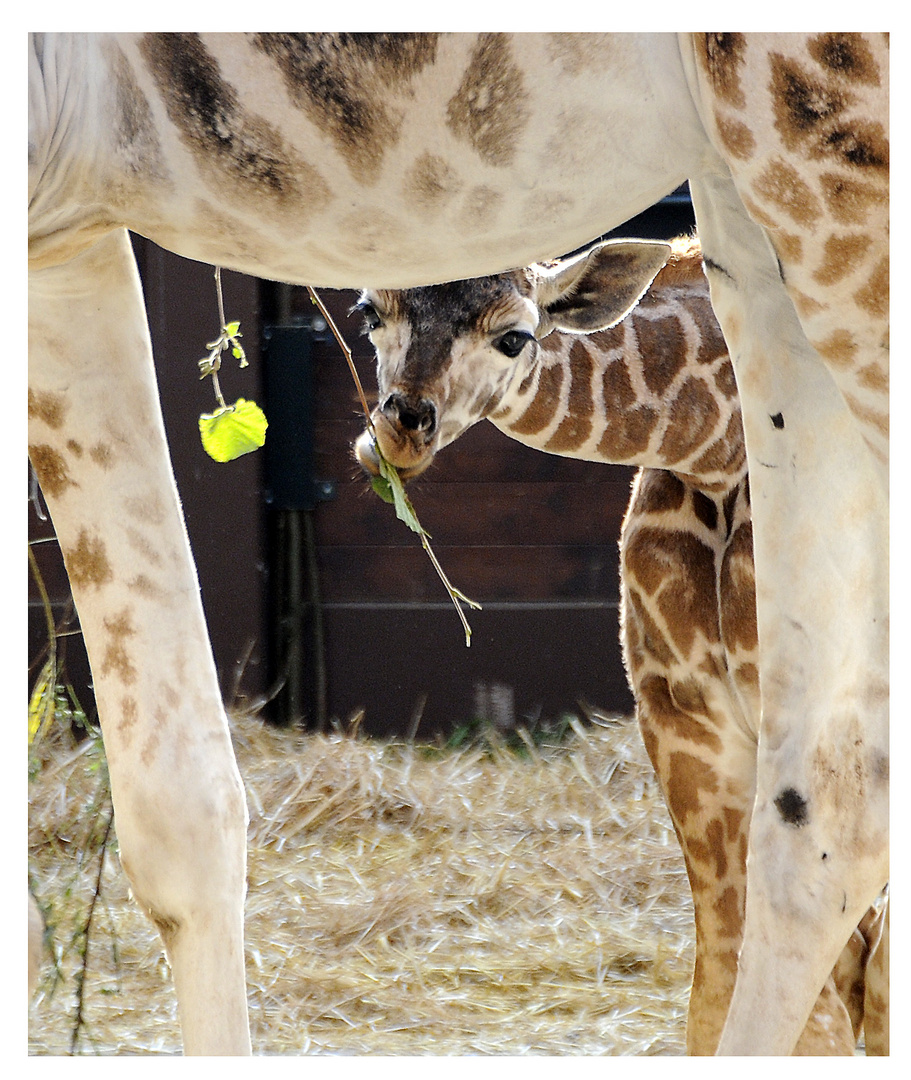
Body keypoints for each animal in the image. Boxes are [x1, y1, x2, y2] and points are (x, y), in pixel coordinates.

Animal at [351, 236, 885, 1054]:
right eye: (367, 312)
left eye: (515, 336)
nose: (400, 429)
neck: (716, 450)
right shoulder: (680, 713)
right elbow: (721, 980)